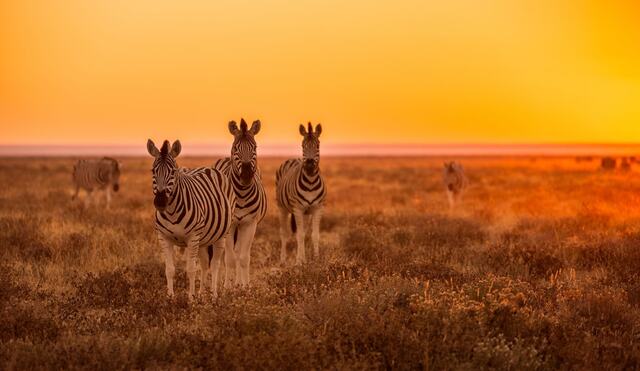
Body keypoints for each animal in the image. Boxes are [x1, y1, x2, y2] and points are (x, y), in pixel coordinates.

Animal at [147, 140, 235, 300]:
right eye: (153, 171)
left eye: (173, 172)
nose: (161, 202)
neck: (171, 212)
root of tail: (209, 168)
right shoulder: (164, 238)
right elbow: (169, 269)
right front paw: (170, 298)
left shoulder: (192, 237)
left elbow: (191, 269)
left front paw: (191, 299)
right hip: (203, 239)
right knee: (205, 263)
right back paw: (202, 294)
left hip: (221, 235)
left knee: (215, 264)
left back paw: (214, 295)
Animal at [214, 119, 266, 288]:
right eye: (236, 148)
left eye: (255, 147)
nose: (246, 176)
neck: (241, 195)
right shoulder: (230, 225)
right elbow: (229, 258)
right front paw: (227, 287)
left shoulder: (250, 223)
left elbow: (243, 257)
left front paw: (245, 287)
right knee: (225, 254)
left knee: (239, 252)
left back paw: (238, 283)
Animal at [276, 123, 328, 266]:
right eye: (303, 145)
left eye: (318, 145)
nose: (309, 165)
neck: (310, 182)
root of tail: (293, 159)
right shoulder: (298, 209)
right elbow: (299, 235)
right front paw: (299, 261)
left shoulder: (317, 208)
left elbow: (314, 235)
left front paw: (316, 259)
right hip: (282, 208)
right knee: (284, 233)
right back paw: (283, 260)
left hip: (306, 213)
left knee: (302, 232)